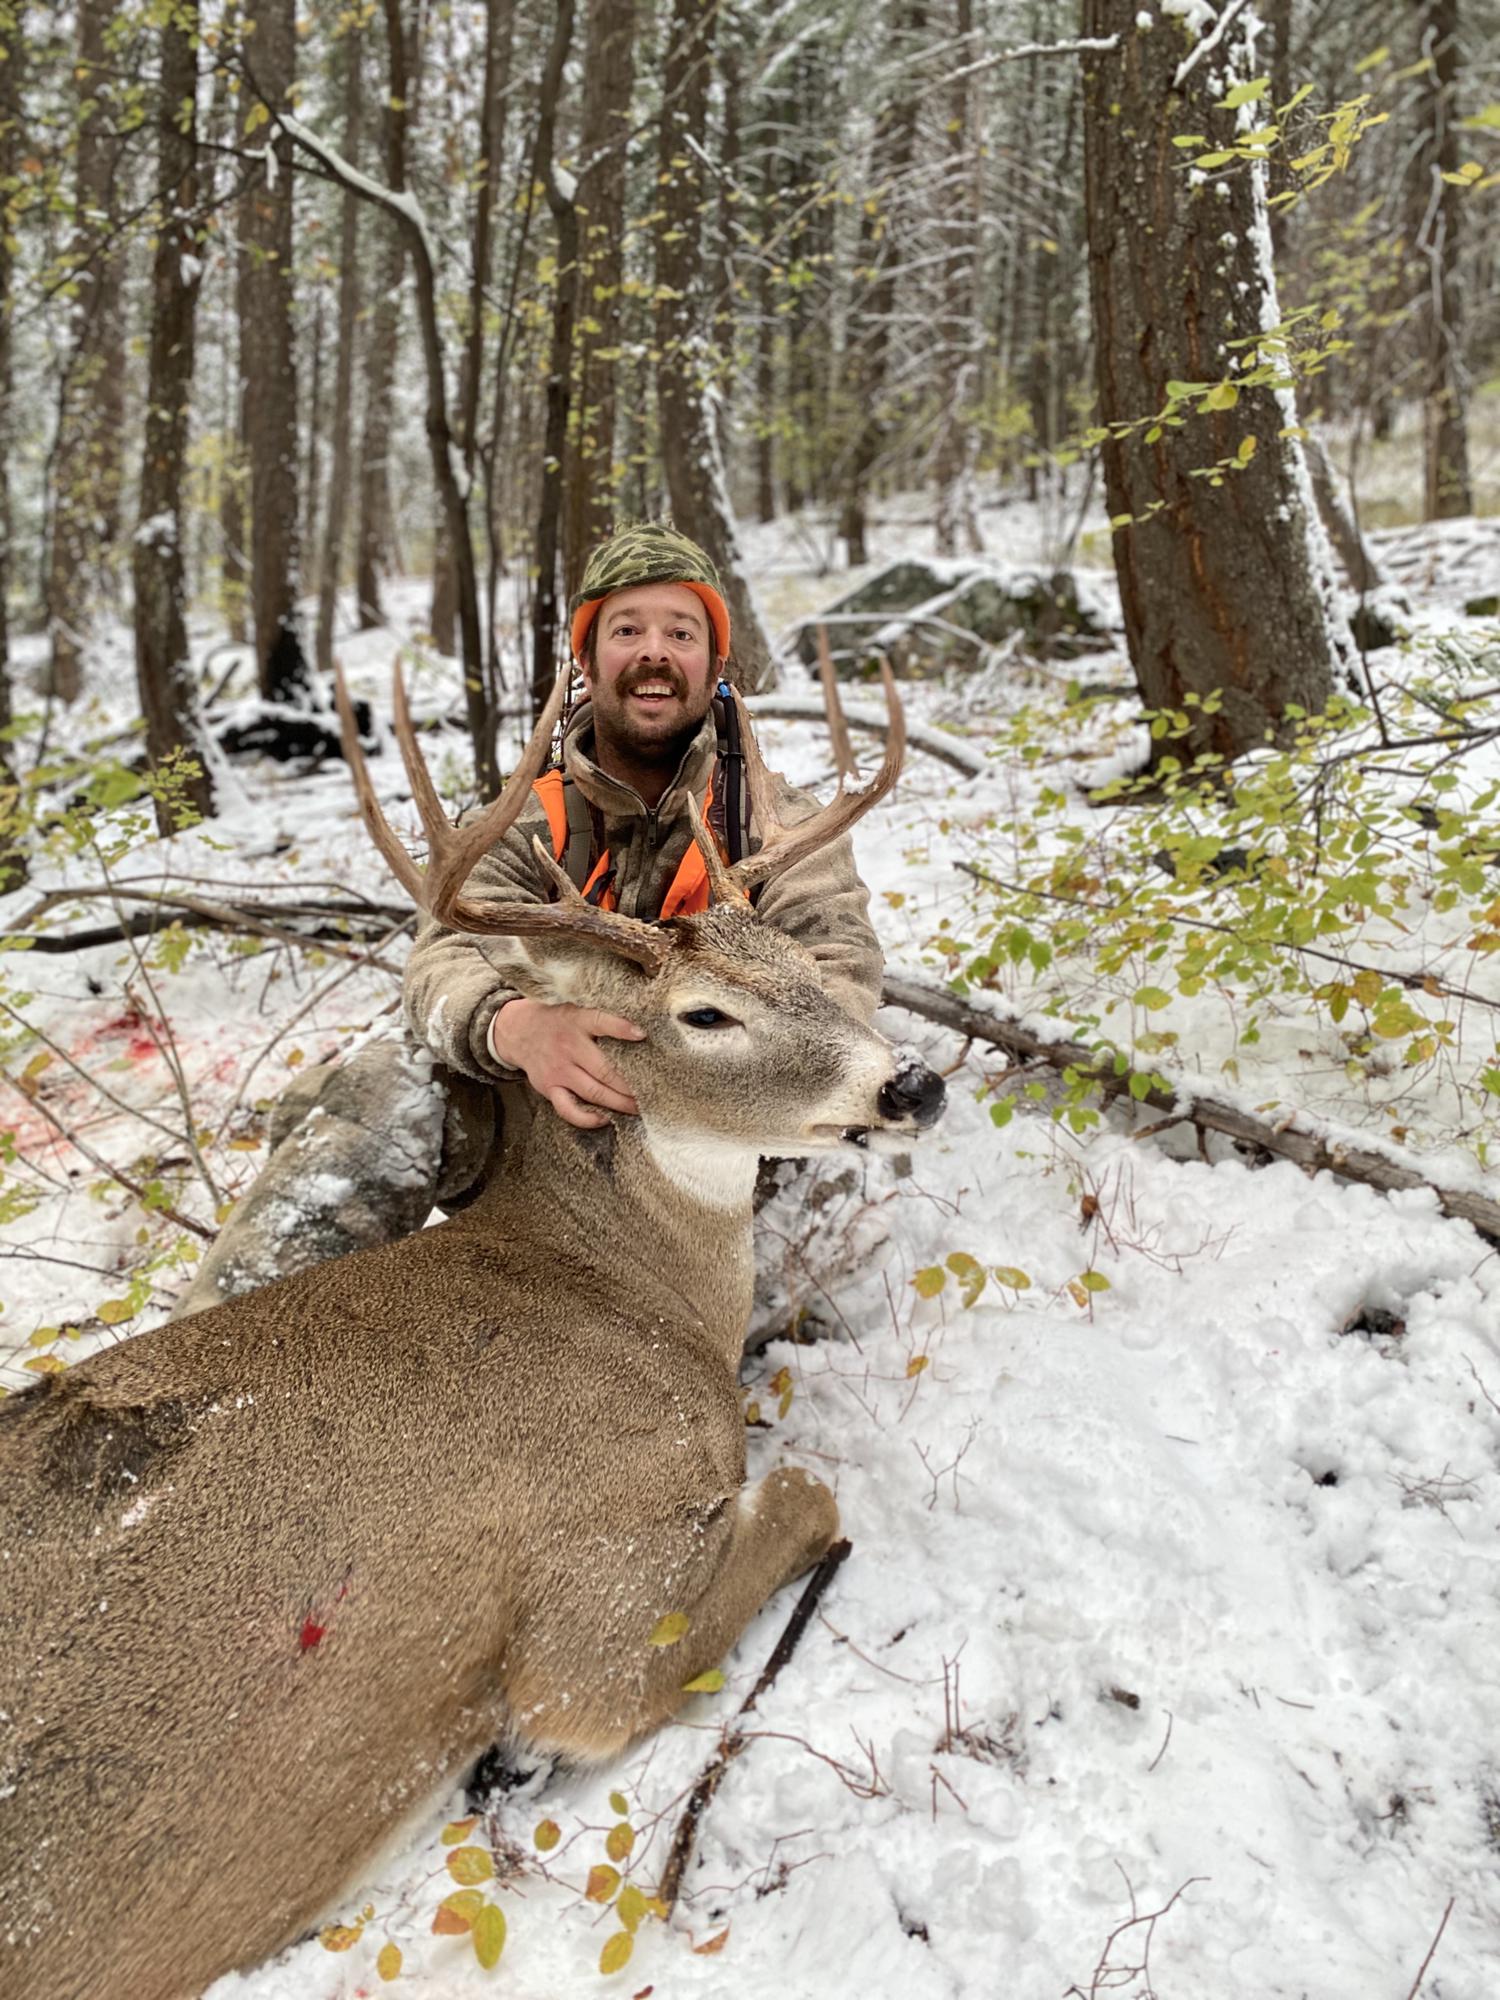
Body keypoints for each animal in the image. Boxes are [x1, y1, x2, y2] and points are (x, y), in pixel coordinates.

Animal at [0, 660, 940, 2000]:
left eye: (804, 963)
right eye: (706, 1013)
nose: (912, 1081)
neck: (617, 1285)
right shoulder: (597, 1592)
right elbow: (806, 1487)